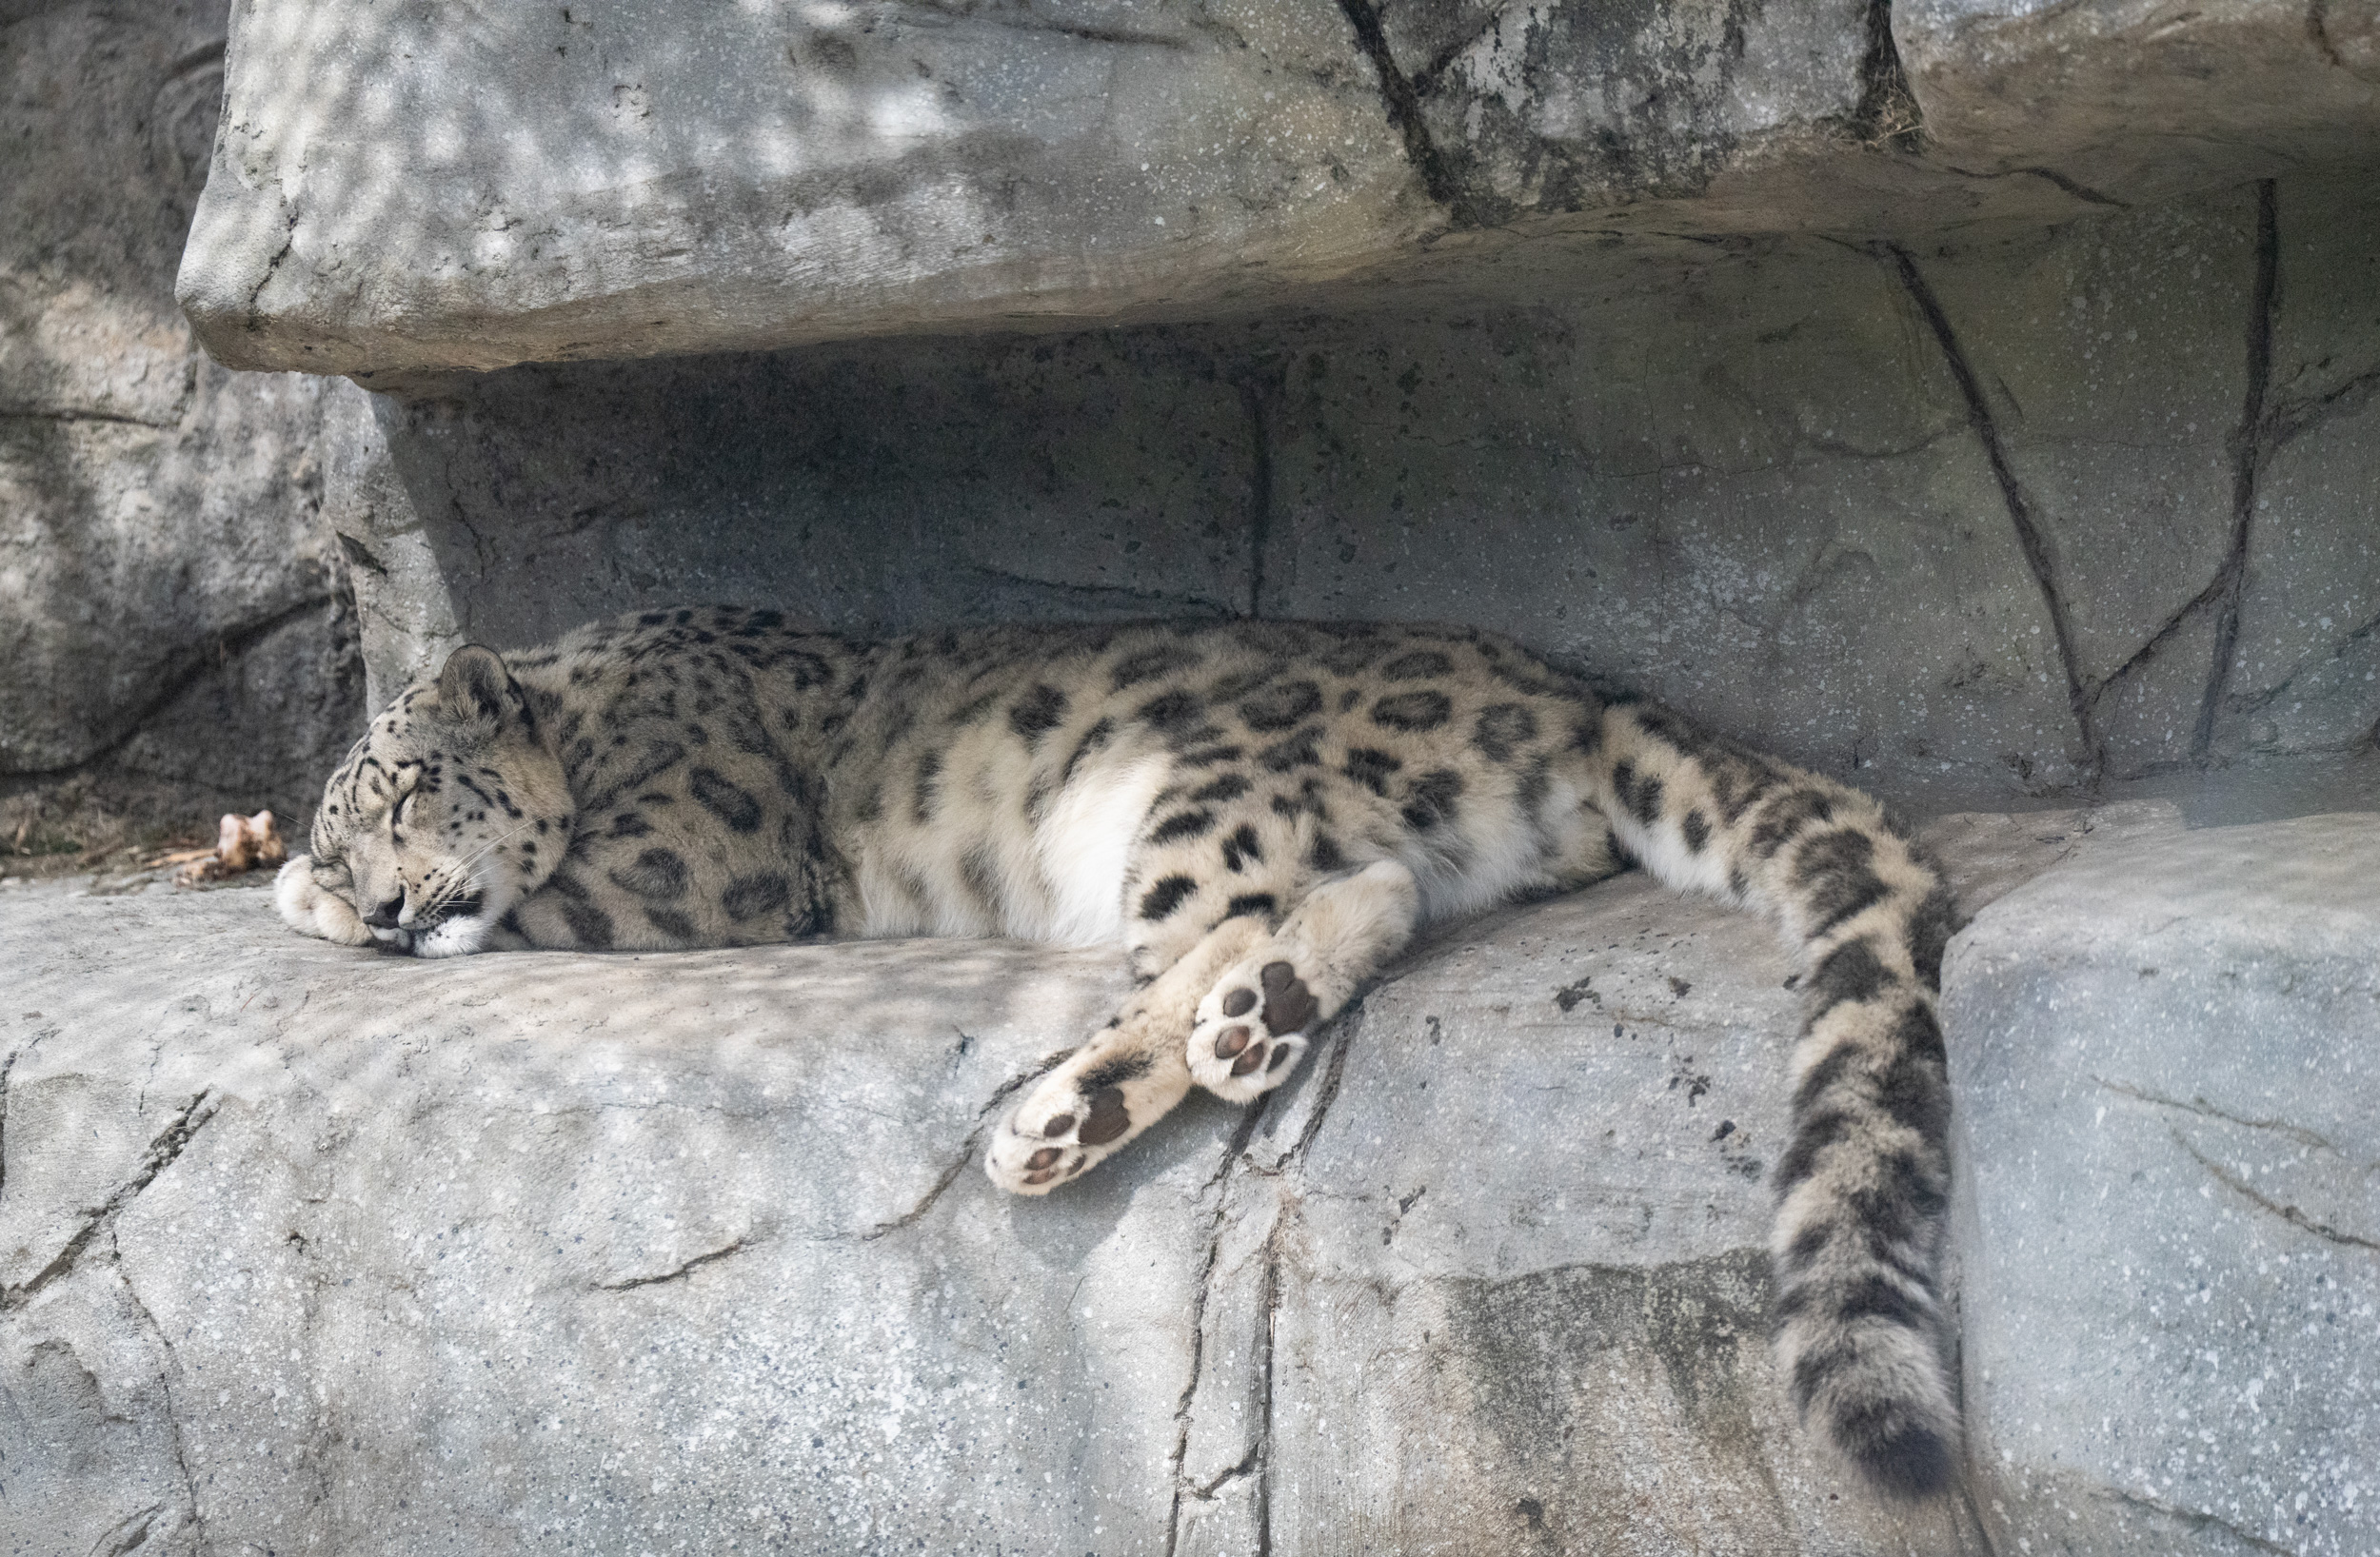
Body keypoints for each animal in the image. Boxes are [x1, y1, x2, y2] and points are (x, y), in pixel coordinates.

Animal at [278, 606, 1961, 1504]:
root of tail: (1571, 696)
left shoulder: (698, 852)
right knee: (1374, 893)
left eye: (404, 788)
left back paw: (1068, 1109)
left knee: (1260, 912)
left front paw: (301, 900)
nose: (382, 899)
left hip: (1195, 791)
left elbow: (549, 894)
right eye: (357, 811)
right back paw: (1205, 1043)